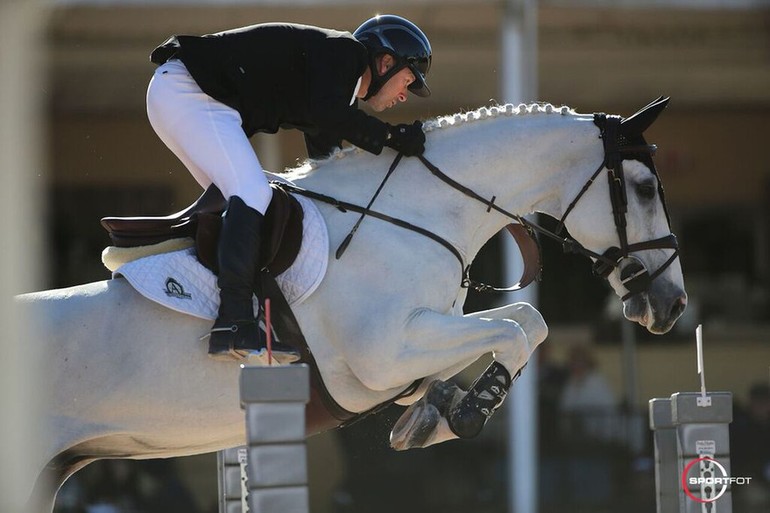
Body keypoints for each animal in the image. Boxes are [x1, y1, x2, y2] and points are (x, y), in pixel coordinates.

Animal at [18, 96, 684, 508]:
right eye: (644, 189)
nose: (672, 305)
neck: (416, 215)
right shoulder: (382, 355)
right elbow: (518, 329)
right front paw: (467, 411)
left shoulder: (421, 333)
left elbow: (524, 320)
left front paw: (432, 412)